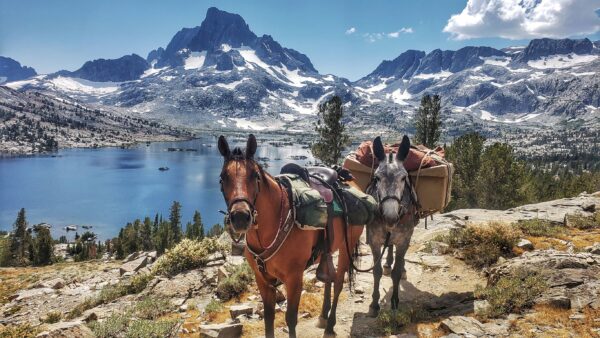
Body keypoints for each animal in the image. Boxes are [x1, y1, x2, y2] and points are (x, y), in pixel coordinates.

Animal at [218, 135, 364, 338]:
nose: (240, 217)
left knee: (338, 283)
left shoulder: (294, 279)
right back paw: (322, 317)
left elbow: (291, 319)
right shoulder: (262, 280)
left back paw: (330, 326)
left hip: (346, 247)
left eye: (255, 176)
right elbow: (269, 318)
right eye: (222, 178)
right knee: (329, 278)